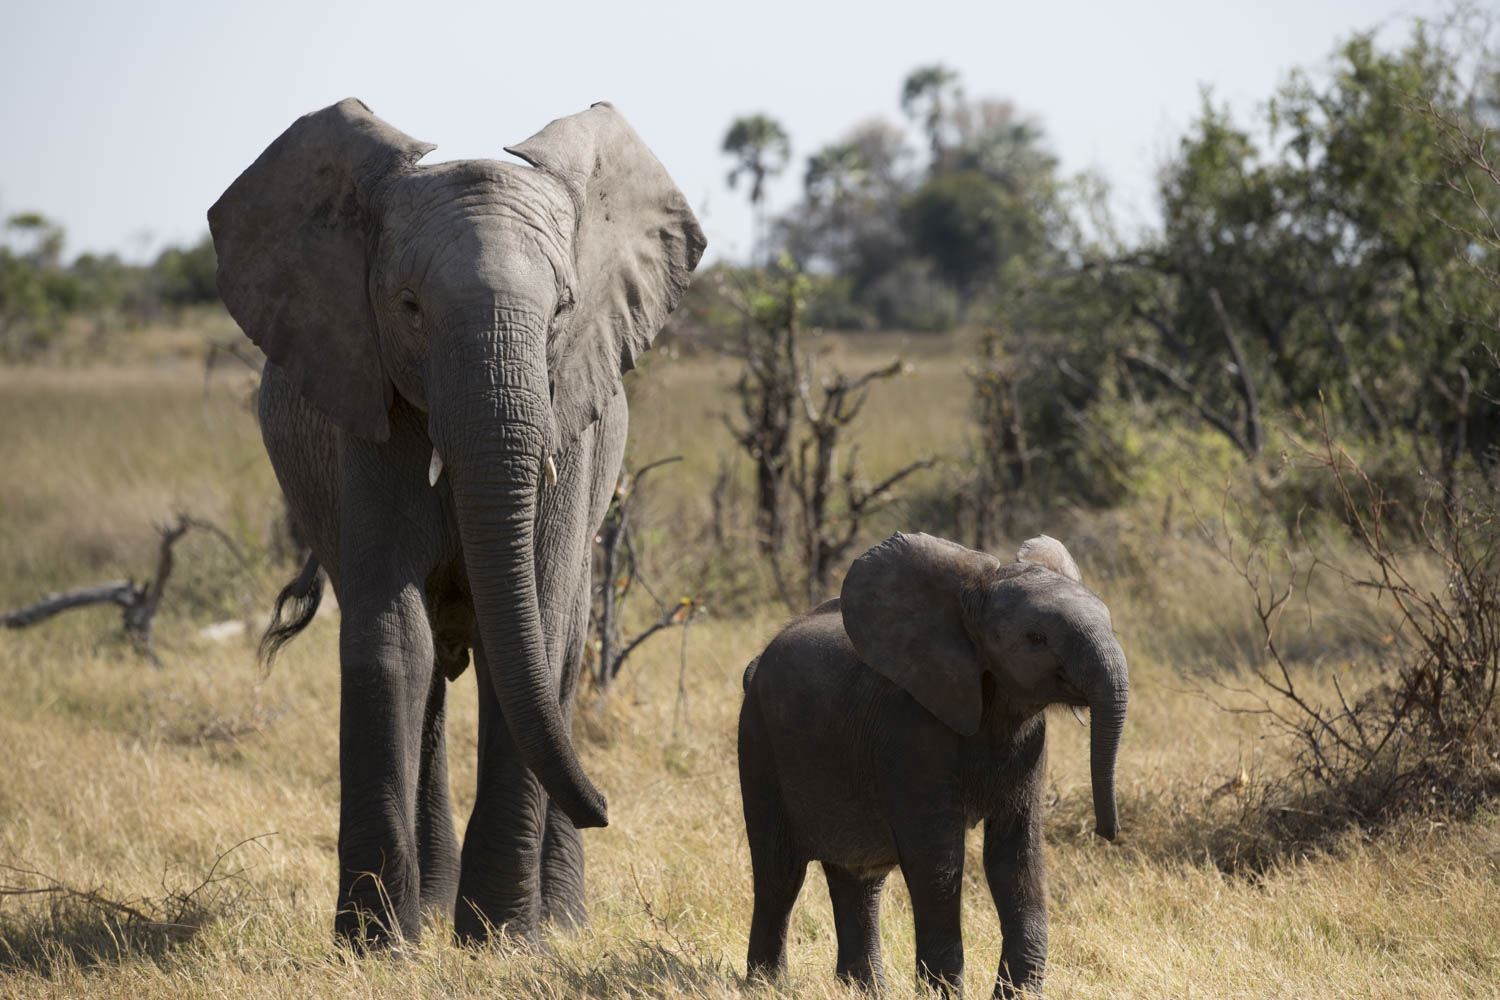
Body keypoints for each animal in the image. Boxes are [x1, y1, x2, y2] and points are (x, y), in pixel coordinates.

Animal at [208, 99, 705, 947]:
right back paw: (435, 913)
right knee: (435, 673)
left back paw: (557, 924)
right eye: (408, 309)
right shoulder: (365, 410)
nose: (607, 807)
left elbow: (537, 631)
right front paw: (377, 947)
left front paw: (504, 941)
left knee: (558, 646)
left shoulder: (570, 430)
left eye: (564, 309)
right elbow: (390, 641)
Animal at [732, 536, 1128, 995]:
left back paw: (867, 991)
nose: (1108, 833)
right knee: (780, 874)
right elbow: (938, 859)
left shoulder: (1030, 741)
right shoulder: (911, 732)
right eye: (1036, 637)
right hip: (759, 743)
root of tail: (756, 663)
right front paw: (943, 993)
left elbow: (1015, 853)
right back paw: (766, 987)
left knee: (859, 877)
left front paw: (1016, 996)